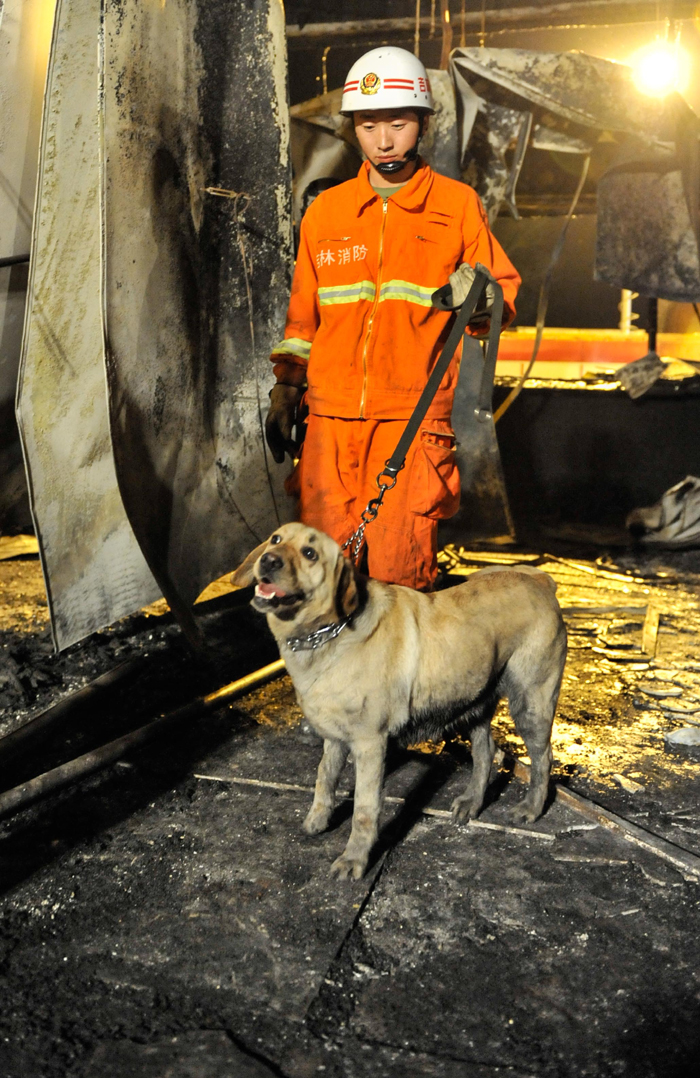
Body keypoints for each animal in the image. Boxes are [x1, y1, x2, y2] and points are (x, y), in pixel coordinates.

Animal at [235, 526, 569, 879]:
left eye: (310, 554)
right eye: (276, 539)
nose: (268, 560)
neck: (329, 634)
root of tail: (541, 582)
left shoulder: (370, 744)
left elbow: (364, 808)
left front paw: (355, 859)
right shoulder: (335, 739)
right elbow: (324, 777)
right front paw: (319, 819)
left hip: (530, 703)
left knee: (543, 758)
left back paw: (531, 808)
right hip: (472, 701)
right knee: (485, 751)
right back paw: (472, 801)